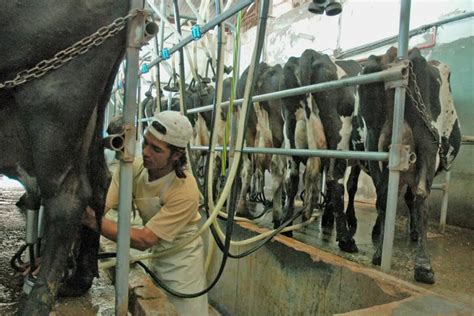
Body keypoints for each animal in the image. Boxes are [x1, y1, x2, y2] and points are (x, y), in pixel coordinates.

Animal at [0, 1, 130, 314]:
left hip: (54, 102)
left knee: (67, 198)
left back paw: (36, 303)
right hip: (92, 114)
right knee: (99, 182)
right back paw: (76, 280)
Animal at [358, 46, 462, 284]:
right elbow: (411, 199)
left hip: (375, 146)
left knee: (384, 196)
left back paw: (380, 253)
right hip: (428, 146)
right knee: (422, 199)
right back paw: (423, 265)